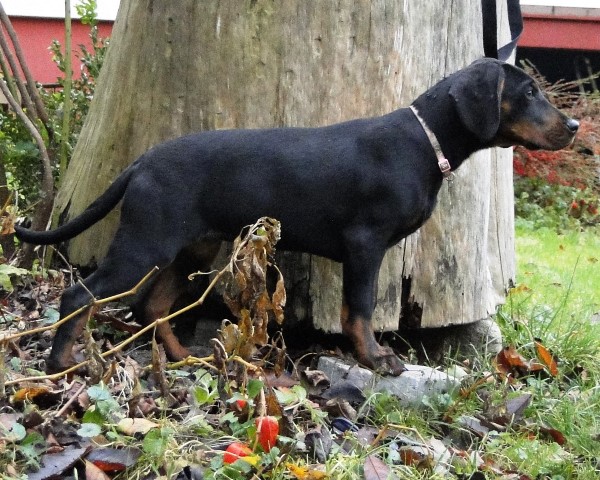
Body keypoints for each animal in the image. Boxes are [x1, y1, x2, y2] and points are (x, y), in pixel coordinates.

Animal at [15, 59, 576, 376]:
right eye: (528, 93)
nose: (572, 126)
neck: (424, 141)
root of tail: (143, 161)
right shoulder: (365, 244)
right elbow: (360, 309)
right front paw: (376, 358)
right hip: (146, 242)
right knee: (82, 295)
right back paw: (62, 363)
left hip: (192, 246)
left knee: (151, 306)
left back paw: (181, 357)